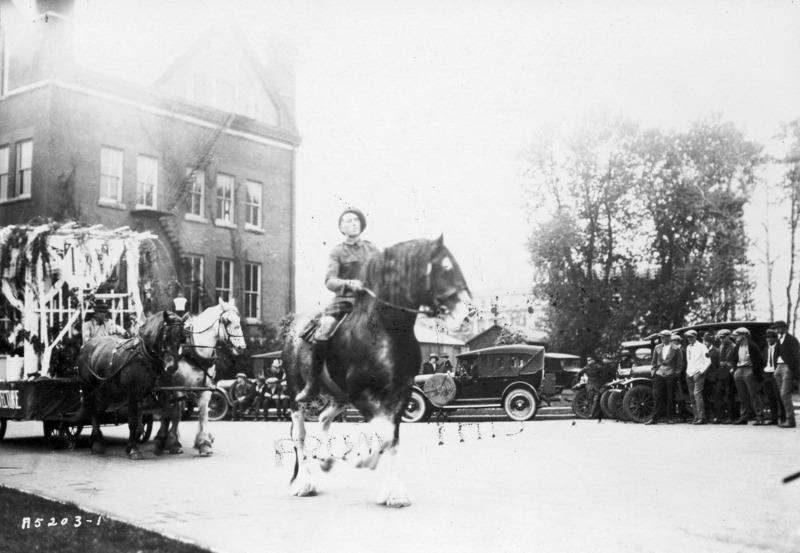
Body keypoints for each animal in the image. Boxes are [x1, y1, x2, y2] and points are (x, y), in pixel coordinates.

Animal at [76, 310, 184, 458]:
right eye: (165, 337)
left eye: (182, 338)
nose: (172, 367)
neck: (145, 356)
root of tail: (86, 346)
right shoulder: (132, 393)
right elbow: (132, 421)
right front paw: (133, 449)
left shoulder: (164, 391)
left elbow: (167, 415)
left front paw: (159, 443)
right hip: (88, 388)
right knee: (92, 410)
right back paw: (97, 443)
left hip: (105, 392)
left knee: (98, 411)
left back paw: (96, 440)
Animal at [154, 300, 247, 454]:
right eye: (227, 321)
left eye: (239, 320)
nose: (241, 347)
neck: (195, 353)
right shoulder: (177, 387)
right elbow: (176, 414)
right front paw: (174, 443)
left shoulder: (205, 389)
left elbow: (203, 414)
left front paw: (204, 443)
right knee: (167, 411)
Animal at [282, 235, 472, 506]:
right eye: (446, 267)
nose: (468, 313)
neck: (384, 329)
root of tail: (293, 328)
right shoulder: (362, 394)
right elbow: (382, 433)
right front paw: (366, 460)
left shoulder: (400, 394)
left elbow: (391, 437)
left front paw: (394, 492)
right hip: (297, 394)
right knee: (299, 434)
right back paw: (304, 483)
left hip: (339, 397)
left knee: (324, 418)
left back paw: (326, 460)